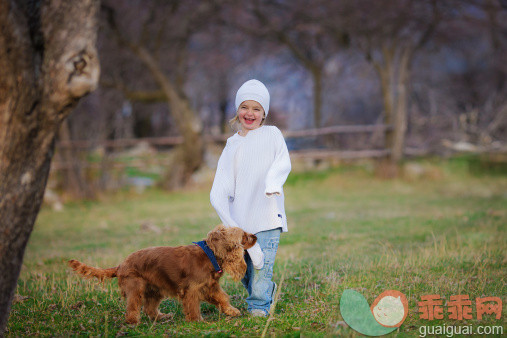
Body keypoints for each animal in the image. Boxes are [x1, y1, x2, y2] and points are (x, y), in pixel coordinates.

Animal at [68, 223, 258, 324]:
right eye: (244, 236)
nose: (256, 236)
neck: (209, 254)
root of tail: (120, 265)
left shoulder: (210, 286)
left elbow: (222, 298)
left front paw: (231, 311)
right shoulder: (192, 289)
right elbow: (193, 306)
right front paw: (197, 321)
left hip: (154, 289)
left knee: (149, 308)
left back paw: (161, 316)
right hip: (136, 287)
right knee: (133, 307)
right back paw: (133, 322)